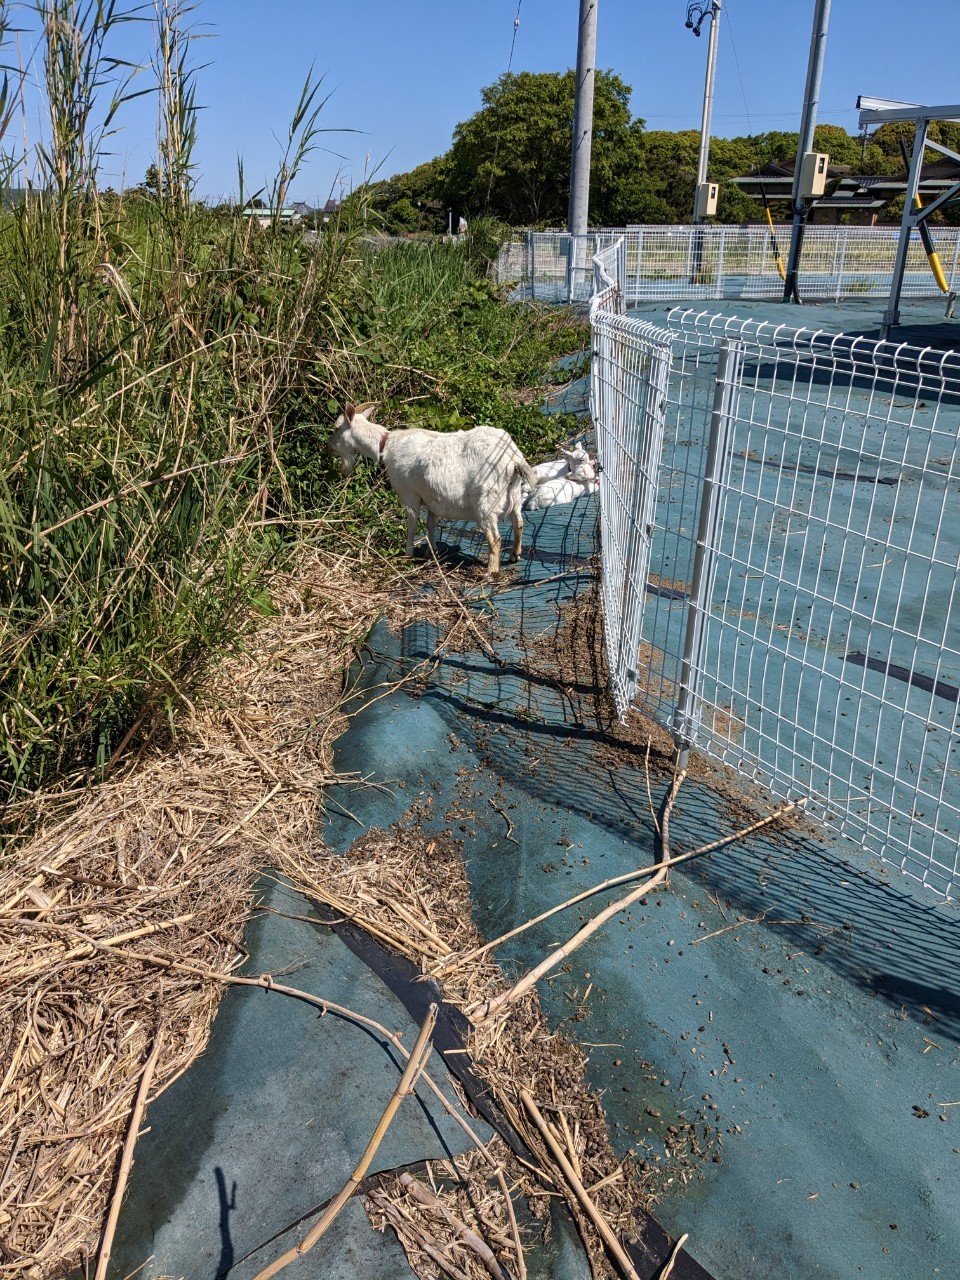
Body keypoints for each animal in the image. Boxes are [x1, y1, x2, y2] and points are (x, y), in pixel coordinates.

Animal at [330, 404, 542, 576]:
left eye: (336, 428)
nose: (328, 449)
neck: (385, 445)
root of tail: (513, 459)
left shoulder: (409, 494)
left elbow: (412, 524)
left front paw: (408, 555)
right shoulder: (432, 499)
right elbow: (430, 524)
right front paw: (430, 553)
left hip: (486, 502)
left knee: (495, 538)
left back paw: (491, 572)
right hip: (513, 496)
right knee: (519, 524)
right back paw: (514, 556)